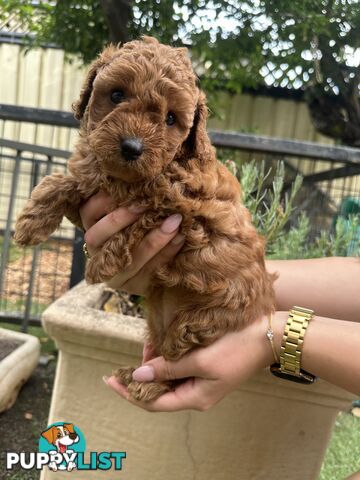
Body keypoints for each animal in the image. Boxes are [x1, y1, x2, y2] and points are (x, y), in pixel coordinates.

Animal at [12, 36, 274, 402]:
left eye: (171, 118)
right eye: (116, 95)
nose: (132, 147)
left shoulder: (184, 213)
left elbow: (141, 216)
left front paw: (102, 264)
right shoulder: (92, 191)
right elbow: (63, 181)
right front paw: (31, 221)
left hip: (201, 324)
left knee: (177, 361)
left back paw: (147, 383)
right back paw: (132, 373)